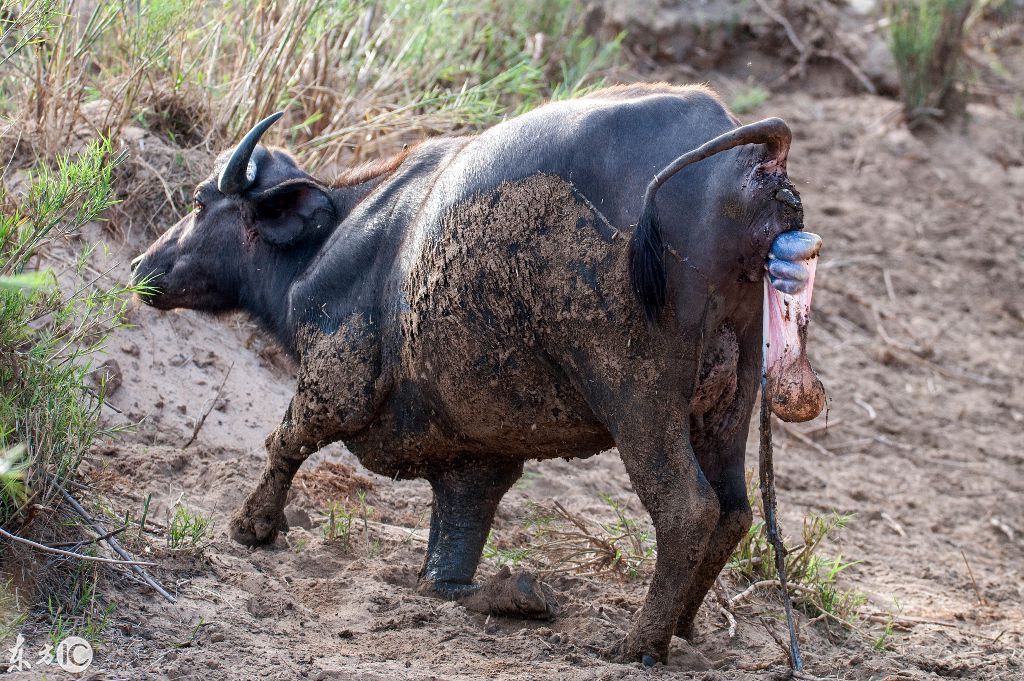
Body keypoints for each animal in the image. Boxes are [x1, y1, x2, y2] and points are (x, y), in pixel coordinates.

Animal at [134, 83, 823, 663]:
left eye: (199, 200)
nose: (143, 266)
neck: (333, 242)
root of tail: (747, 169)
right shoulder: (477, 458)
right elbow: (448, 560)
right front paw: (513, 594)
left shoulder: (334, 383)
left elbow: (285, 442)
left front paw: (253, 526)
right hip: (732, 397)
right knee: (734, 511)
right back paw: (680, 625)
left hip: (637, 394)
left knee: (687, 508)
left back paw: (639, 642)